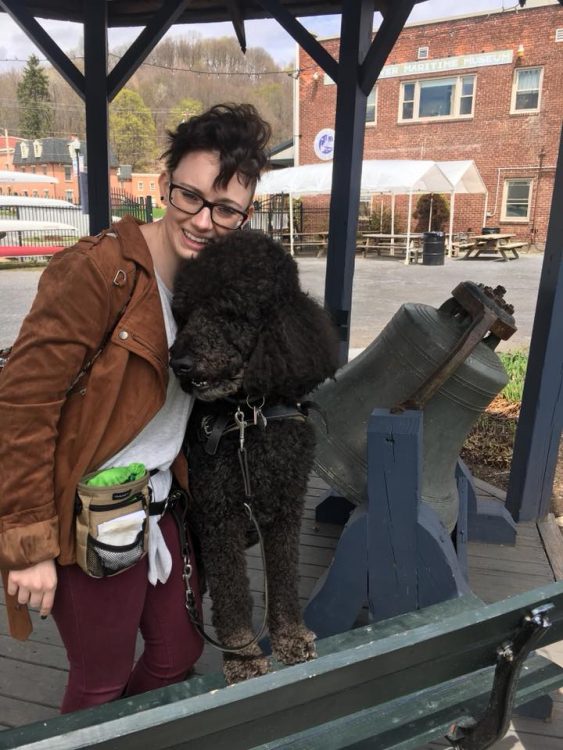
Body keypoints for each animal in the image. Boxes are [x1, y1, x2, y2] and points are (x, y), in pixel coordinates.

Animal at [171, 231, 340, 688]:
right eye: (184, 313)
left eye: (230, 310)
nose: (178, 362)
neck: (248, 419)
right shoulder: (219, 518)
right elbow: (233, 594)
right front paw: (244, 656)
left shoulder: (285, 509)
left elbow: (282, 577)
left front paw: (290, 636)